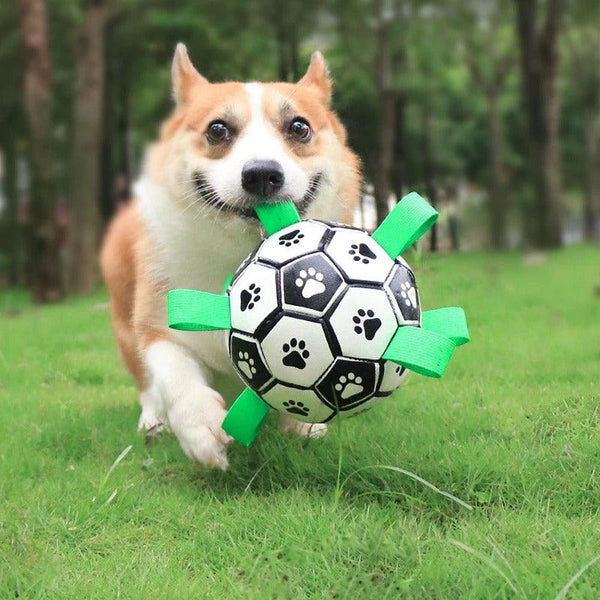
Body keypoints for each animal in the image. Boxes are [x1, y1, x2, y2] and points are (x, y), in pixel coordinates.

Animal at [101, 45, 358, 468]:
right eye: (217, 130)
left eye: (299, 128)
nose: (262, 175)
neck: (240, 257)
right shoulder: (156, 327)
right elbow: (176, 373)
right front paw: (200, 428)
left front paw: (302, 426)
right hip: (124, 325)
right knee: (146, 384)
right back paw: (154, 422)